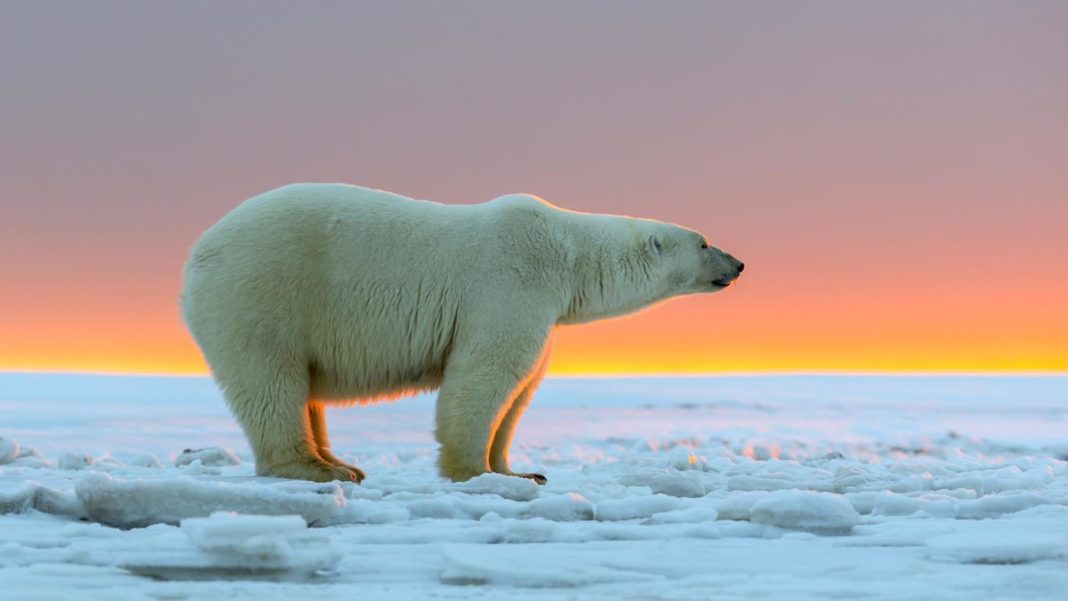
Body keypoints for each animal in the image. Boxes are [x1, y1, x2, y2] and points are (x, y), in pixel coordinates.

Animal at [181, 183, 743, 484]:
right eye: (703, 241)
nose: (738, 263)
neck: (565, 253)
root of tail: (197, 255)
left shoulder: (543, 311)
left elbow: (521, 390)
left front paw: (520, 470)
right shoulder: (511, 285)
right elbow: (486, 374)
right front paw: (474, 471)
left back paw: (339, 461)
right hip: (263, 291)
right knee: (271, 381)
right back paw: (318, 468)